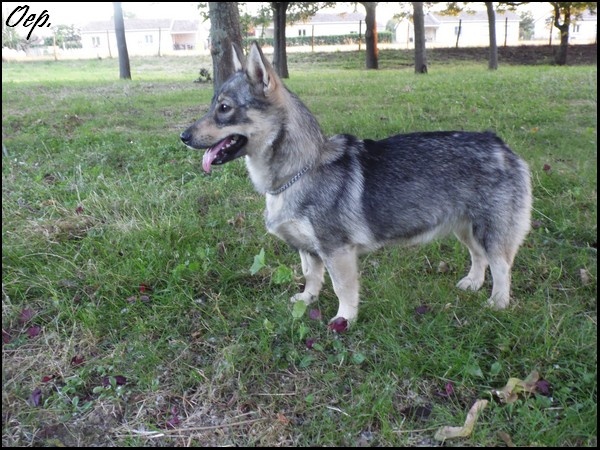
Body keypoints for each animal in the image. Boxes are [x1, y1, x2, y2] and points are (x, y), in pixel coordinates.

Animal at [180, 41, 532, 326]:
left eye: (224, 108)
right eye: (212, 105)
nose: (183, 136)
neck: (300, 171)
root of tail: (499, 144)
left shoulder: (337, 251)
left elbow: (343, 289)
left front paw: (344, 319)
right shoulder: (309, 250)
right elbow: (311, 277)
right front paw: (307, 300)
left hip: (489, 231)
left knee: (501, 266)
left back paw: (498, 303)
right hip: (465, 228)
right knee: (479, 258)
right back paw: (472, 284)